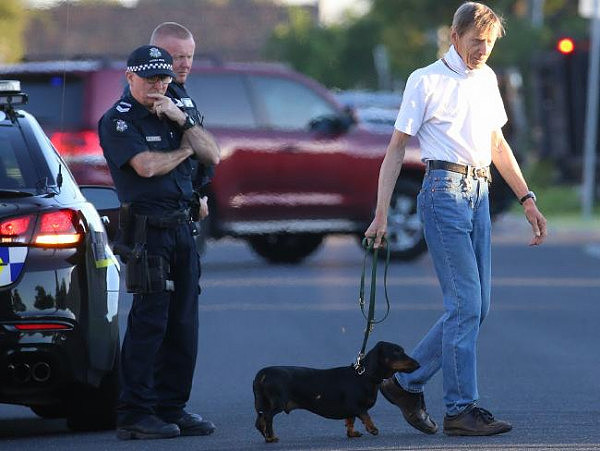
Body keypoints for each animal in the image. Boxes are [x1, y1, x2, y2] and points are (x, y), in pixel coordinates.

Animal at [252, 340, 418, 444]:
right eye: (397, 352)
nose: (418, 364)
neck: (363, 375)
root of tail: (263, 374)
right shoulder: (356, 406)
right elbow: (365, 414)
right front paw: (372, 429)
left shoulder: (351, 411)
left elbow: (350, 421)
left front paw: (352, 434)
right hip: (278, 403)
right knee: (267, 418)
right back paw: (271, 437)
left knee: (260, 421)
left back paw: (267, 437)